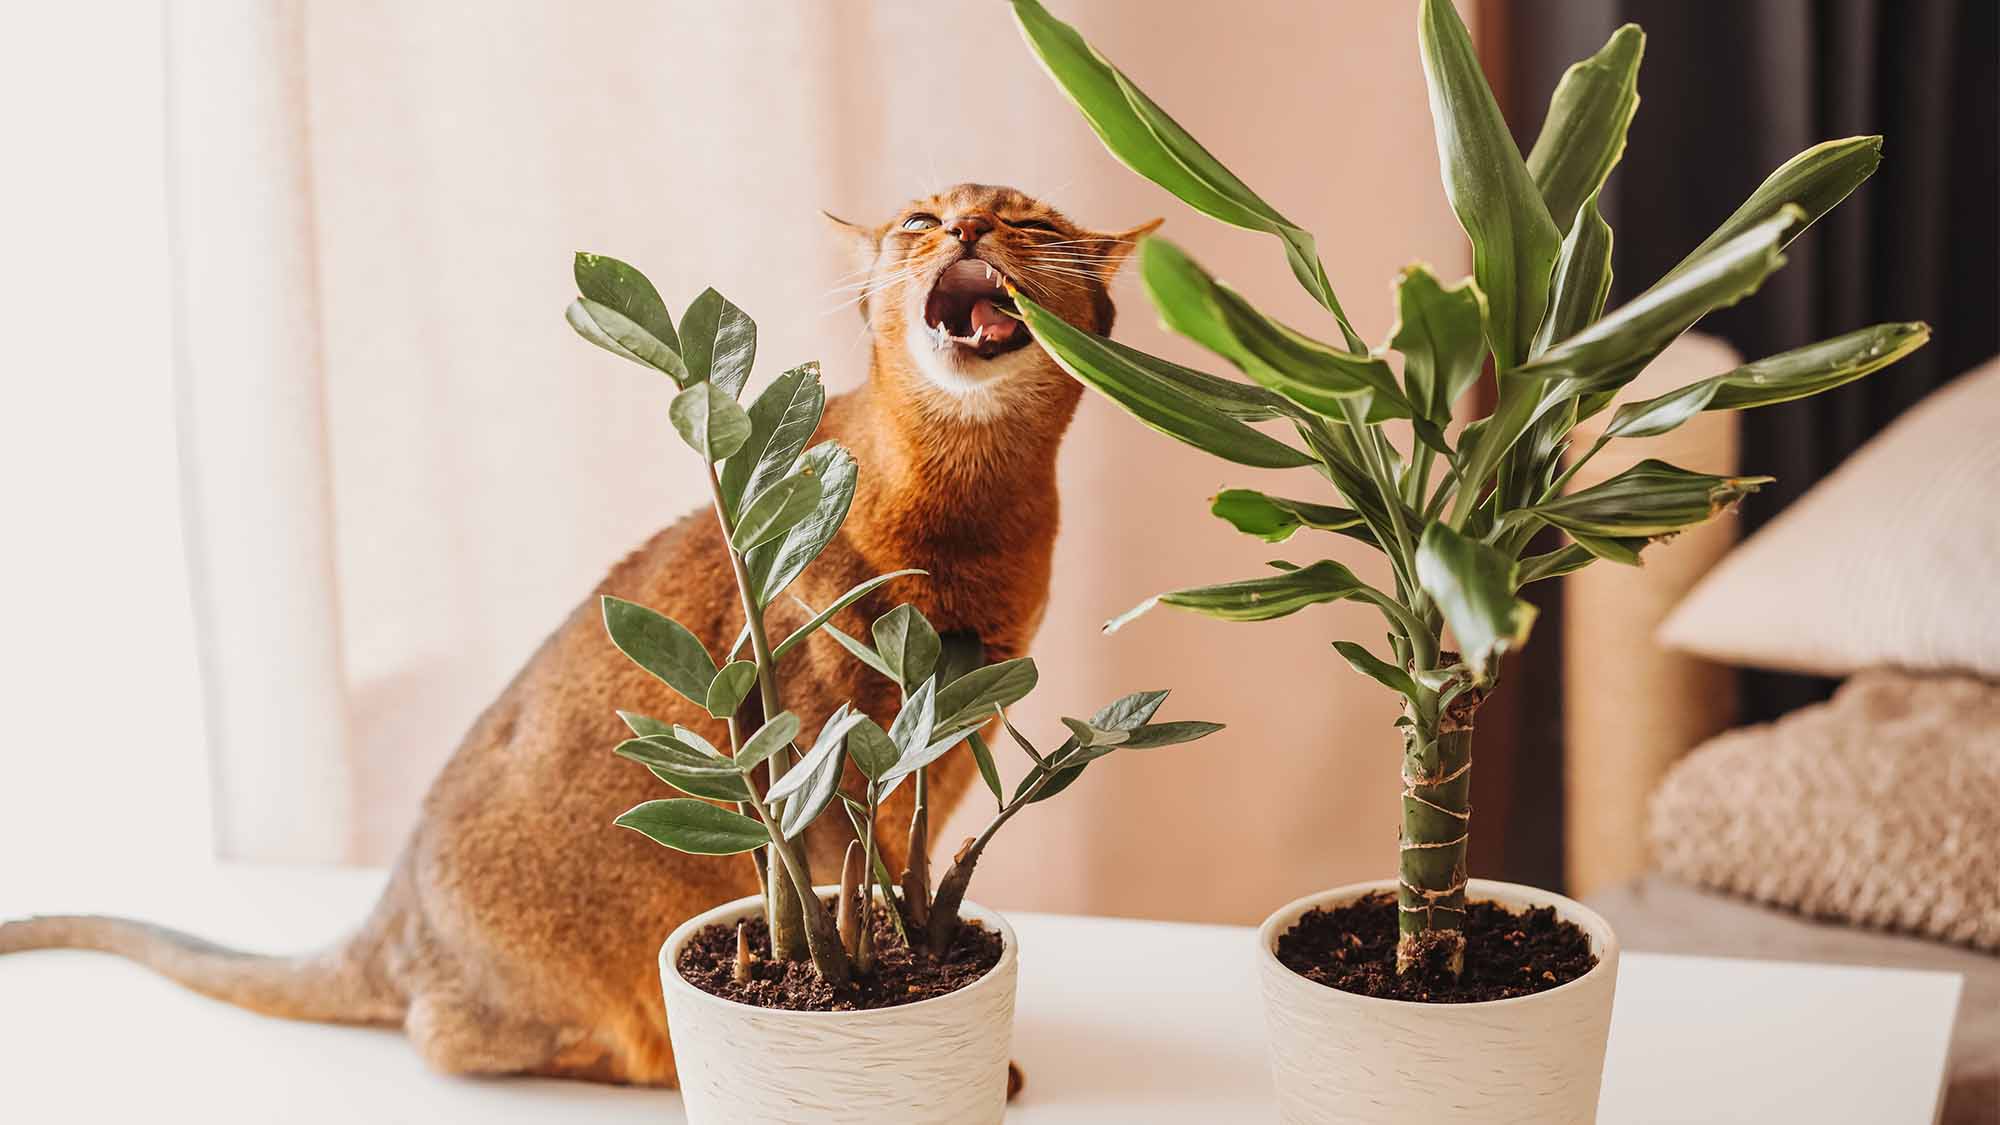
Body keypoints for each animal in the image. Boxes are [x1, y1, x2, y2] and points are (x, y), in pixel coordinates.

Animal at [0, 186, 1160, 1088]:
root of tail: (390, 911)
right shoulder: (826, 736)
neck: (964, 511)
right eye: (920, 217)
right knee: (448, 1036)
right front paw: (862, 968)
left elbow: (914, 878)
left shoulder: (945, 735)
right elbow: (845, 890)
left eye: (1030, 221)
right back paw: (646, 1055)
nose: (966, 223)